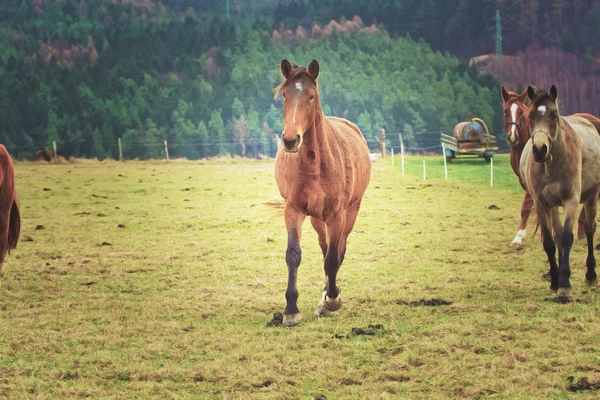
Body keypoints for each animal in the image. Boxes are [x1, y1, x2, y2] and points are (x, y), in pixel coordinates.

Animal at [266, 59, 370, 326]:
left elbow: (333, 259)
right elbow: (294, 255)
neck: (315, 164)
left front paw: (332, 301)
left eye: (311, 96)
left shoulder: (337, 215)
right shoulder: (294, 210)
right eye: (285, 94)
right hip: (316, 219)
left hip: (350, 212)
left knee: (338, 251)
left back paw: (328, 298)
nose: (290, 140)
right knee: (325, 248)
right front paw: (291, 310)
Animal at [520, 86, 600, 298]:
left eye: (554, 115)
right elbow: (550, 241)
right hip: (553, 205)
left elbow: (566, 237)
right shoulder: (541, 203)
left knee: (589, 229)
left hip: (591, 198)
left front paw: (564, 286)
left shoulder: (570, 200)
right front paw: (555, 281)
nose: (540, 149)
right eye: (530, 115)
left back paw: (591, 275)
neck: (551, 163)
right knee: (556, 234)